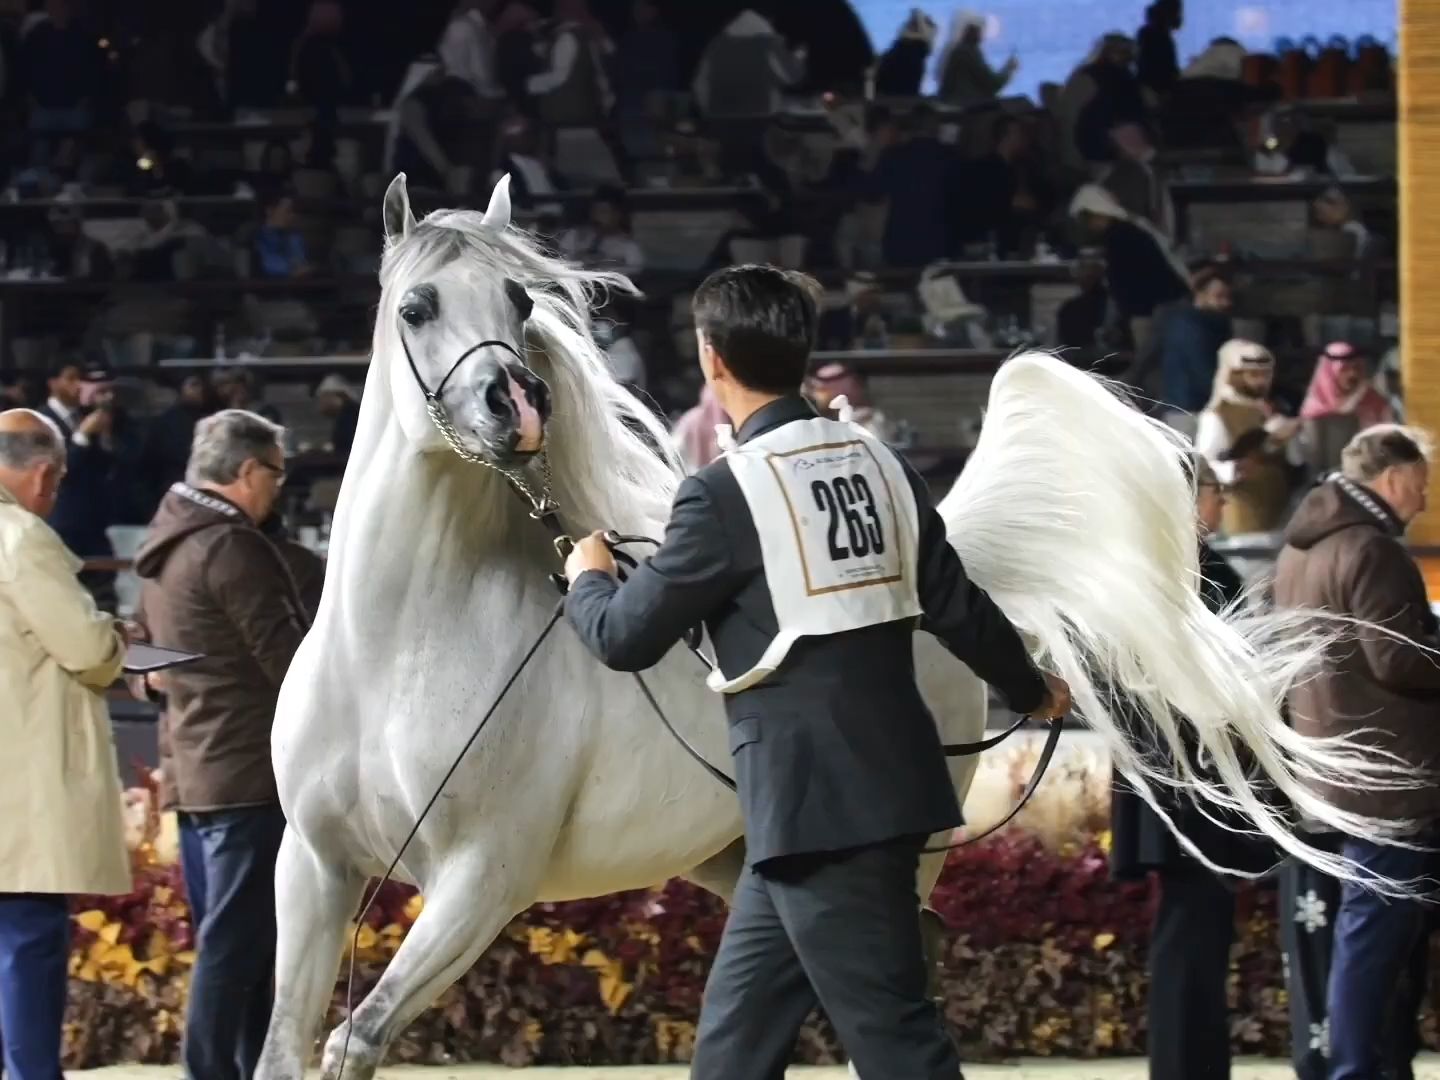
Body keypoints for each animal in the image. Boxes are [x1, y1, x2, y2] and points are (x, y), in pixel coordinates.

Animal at [257, 174, 1414, 1080]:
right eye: (416, 306)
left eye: (518, 298)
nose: (519, 403)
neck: (399, 646)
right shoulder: (314, 866)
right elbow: (285, 1047)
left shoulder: (483, 879)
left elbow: (354, 1040)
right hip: (737, 861)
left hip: (892, 860)